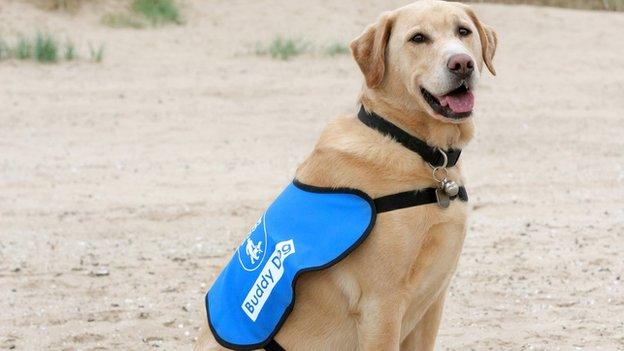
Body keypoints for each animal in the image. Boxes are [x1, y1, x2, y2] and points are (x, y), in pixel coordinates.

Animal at [195, 1, 498, 350]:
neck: (414, 147)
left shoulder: (434, 299)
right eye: (418, 38)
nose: (462, 63)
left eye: (463, 31)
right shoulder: (382, 304)